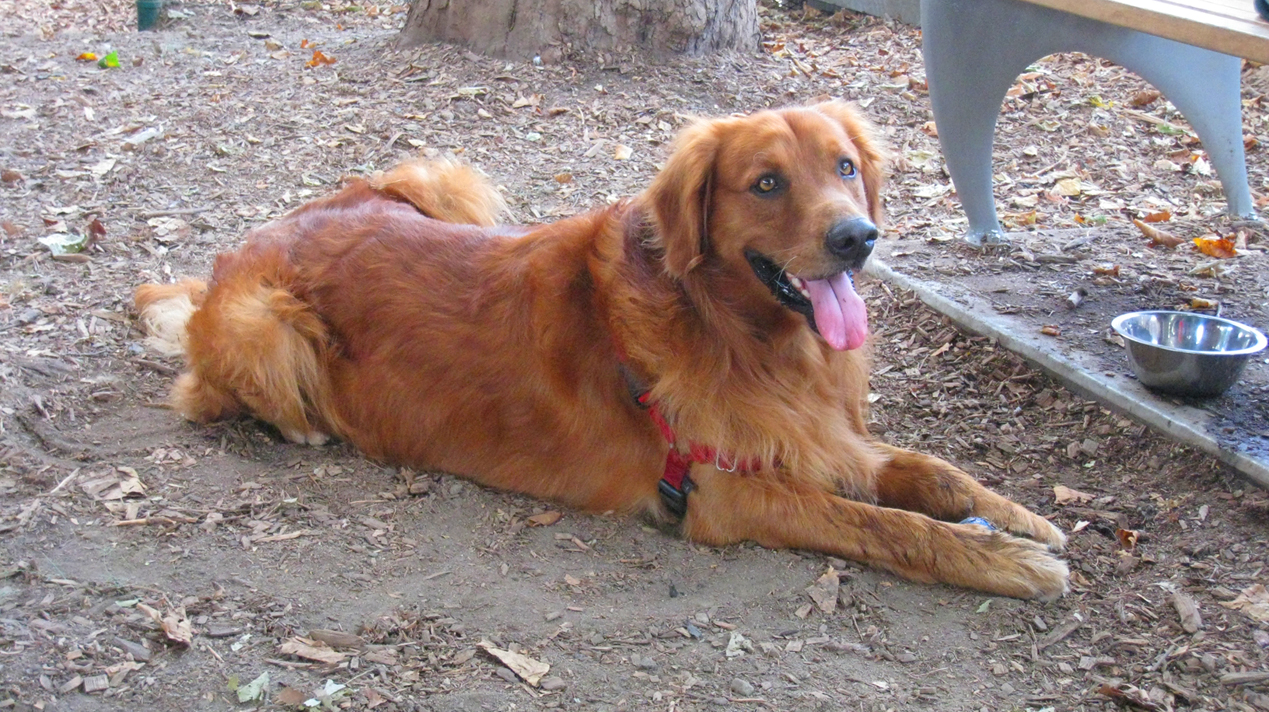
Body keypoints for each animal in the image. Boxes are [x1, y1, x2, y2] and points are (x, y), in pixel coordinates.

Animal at [136, 100, 1071, 596]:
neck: (732, 332)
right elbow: (880, 523)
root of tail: (237, 251)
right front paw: (1004, 558)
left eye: (844, 167)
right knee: (211, 394)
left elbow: (931, 474)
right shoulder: (727, 491)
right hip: (267, 326)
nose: (857, 238)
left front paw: (1019, 519)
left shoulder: (818, 435)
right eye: (766, 183)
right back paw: (304, 423)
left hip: (438, 178)